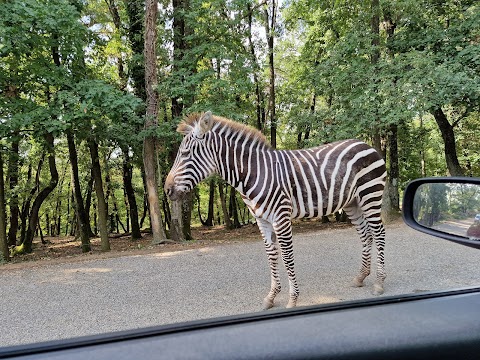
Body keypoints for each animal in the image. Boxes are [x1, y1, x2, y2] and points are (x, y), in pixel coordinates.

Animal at [164, 111, 386, 308]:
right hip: (353, 203)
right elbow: (271, 255)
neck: (254, 173)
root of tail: (366, 144)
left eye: (185, 154)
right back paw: (360, 277)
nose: (166, 190)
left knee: (379, 232)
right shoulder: (262, 220)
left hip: (370, 195)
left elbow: (287, 256)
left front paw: (293, 298)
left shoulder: (281, 217)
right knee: (365, 234)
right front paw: (271, 296)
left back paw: (379, 282)